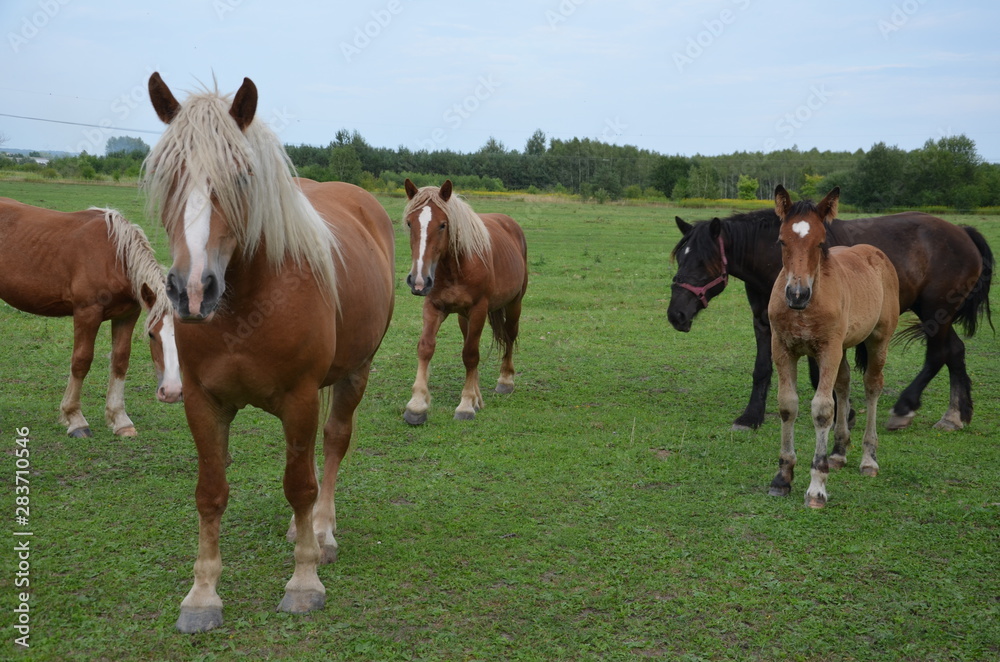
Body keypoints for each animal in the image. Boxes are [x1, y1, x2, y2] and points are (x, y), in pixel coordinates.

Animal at [0, 199, 181, 437]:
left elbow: (120, 361)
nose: (172, 392)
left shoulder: (127, 315)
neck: (113, 257)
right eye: (151, 335)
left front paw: (120, 420)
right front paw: (75, 419)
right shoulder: (87, 313)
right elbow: (81, 361)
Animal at [144, 72, 395, 633]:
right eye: (167, 175)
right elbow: (210, 492)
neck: (247, 306)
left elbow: (300, 485)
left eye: (241, 176)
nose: (193, 291)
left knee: (333, 444)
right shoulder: (203, 402)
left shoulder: (299, 399)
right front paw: (202, 596)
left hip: (355, 373)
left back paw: (320, 533)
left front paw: (303, 583)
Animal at [401, 179, 528, 424]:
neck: (456, 267)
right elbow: (426, 348)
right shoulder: (433, 307)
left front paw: (466, 404)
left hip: (513, 304)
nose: (418, 280)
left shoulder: (479, 309)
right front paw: (417, 405)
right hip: (463, 317)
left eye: (443, 225)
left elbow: (470, 355)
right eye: (410, 223)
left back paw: (505, 381)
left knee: (509, 335)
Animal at [668, 200, 992, 432]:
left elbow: (819, 372)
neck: (778, 259)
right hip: (937, 314)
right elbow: (761, 369)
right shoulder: (764, 323)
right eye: (681, 257)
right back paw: (955, 415)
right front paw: (750, 417)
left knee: (938, 354)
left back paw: (905, 407)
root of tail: (964, 233)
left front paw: (843, 413)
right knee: (955, 351)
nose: (676, 314)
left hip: (935, 311)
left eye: (703, 261)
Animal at [767, 186, 900, 508]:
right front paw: (782, 477)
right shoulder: (783, 348)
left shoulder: (828, 350)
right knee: (844, 383)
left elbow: (822, 410)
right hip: (843, 346)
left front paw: (817, 486)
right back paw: (838, 453)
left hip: (878, 340)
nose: (797, 294)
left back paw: (868, 459)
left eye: (820, 243)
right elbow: (787, 405)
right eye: (781, 240)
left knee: (872, 386)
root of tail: (875, 253)